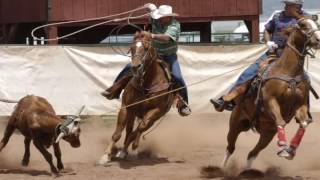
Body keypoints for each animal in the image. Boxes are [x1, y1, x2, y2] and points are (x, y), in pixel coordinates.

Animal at [97, 31, 175, 165]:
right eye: (132, 48)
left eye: (147, 48)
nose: (135, 67)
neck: (147, 83)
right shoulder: (126, 108)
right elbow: (118, 133)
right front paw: (106, 155)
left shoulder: (156, 111)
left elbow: (139, 129)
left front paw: (133, 145)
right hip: (132, 113)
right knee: (129, 130)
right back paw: (123, 151)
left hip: (153, 118)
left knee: (137, 130)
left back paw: (128, 149)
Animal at [221, 16, 320, 169]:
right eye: (303, 25)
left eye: (316, 23)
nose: (318, 39)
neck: (289, 72)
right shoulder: (270, 101)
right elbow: (280, 121)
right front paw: (283, 147)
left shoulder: (301, 104)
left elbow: (303, 123)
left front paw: (291, 149)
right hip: (236, 123)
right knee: (230, 148)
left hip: (268, 133)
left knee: (252, 153)